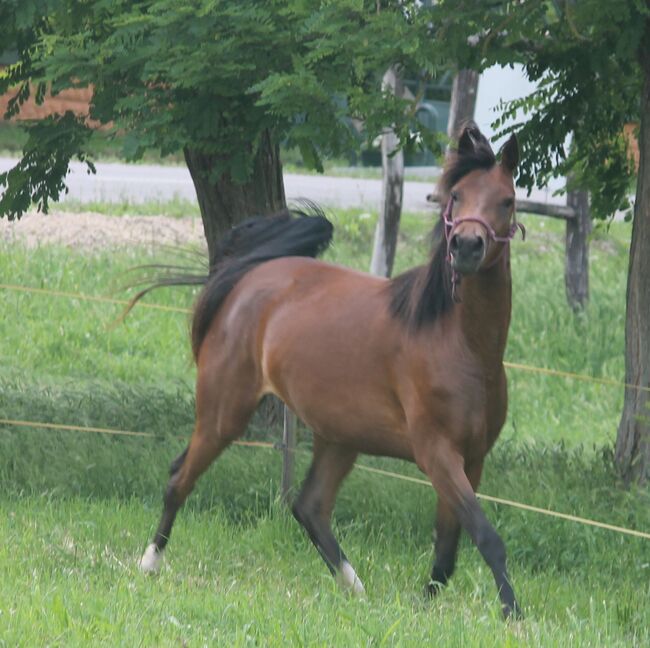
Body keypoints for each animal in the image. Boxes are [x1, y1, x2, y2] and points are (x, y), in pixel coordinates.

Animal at [137, 123, 520, 616]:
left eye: (506, 200)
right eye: (456, 195)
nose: (467, 247)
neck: (461, 344)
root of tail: (250, 277)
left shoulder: (471, 459)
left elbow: (449, 543)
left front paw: (425, 604)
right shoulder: (437, 453)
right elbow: (486, 537)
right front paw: (513, 614)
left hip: (339, 437)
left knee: (309, 506)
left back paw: (355, 588)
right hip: (224, 414)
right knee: (179, 478)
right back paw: (150, 562)